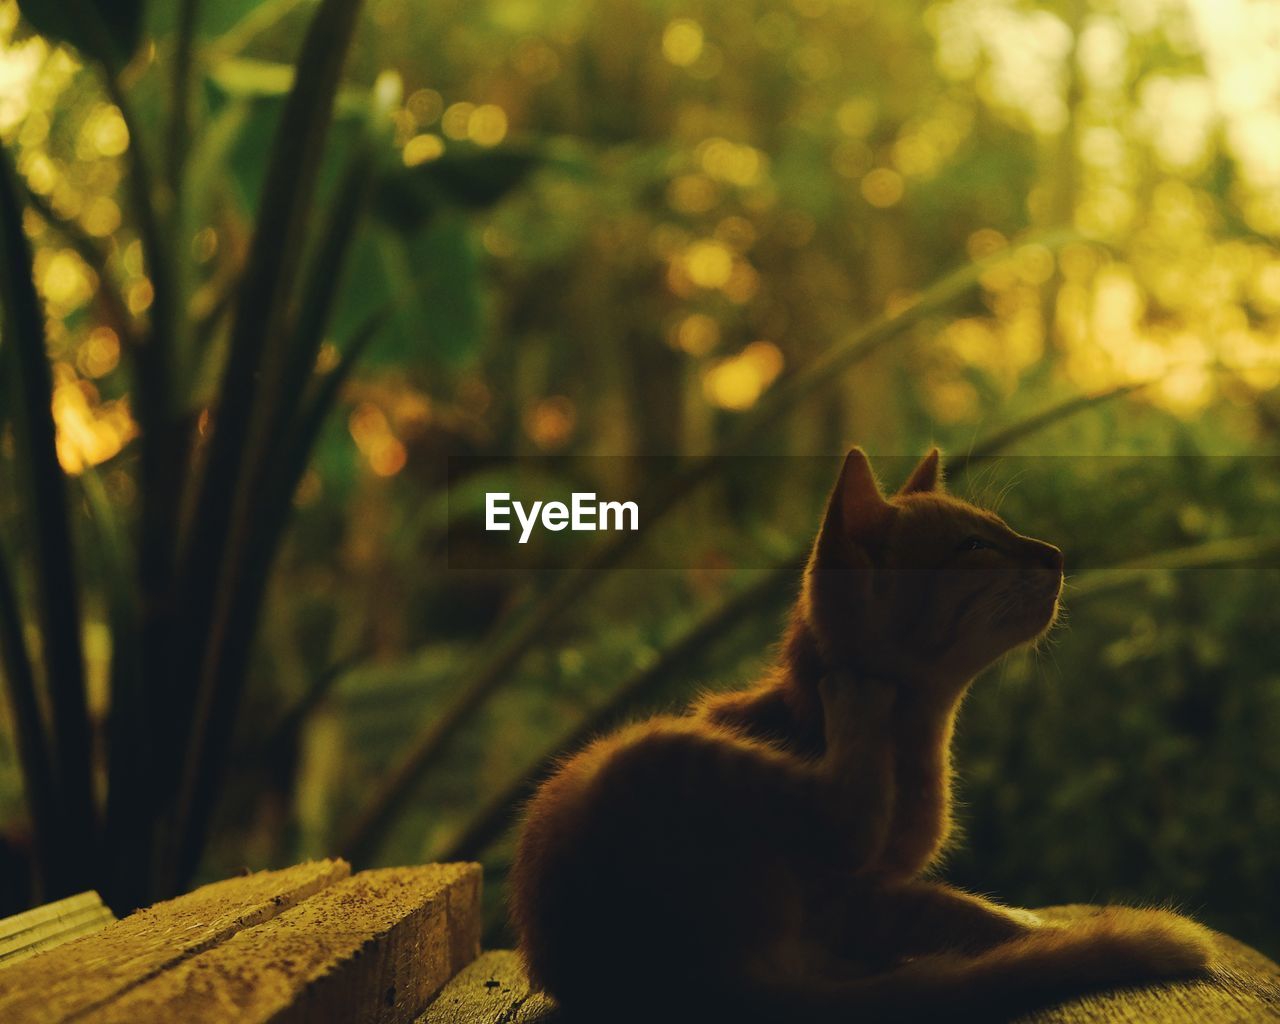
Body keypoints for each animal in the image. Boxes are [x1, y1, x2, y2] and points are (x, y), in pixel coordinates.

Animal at [506, 453, 1208, 1018]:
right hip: (649, 752)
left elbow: (952, 909)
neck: (921, 739)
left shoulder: (866, 900)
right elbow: (949, 906)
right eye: (974, 547)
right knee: (844, 818)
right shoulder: (853, 895)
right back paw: (856, 702)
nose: (1057, 553)